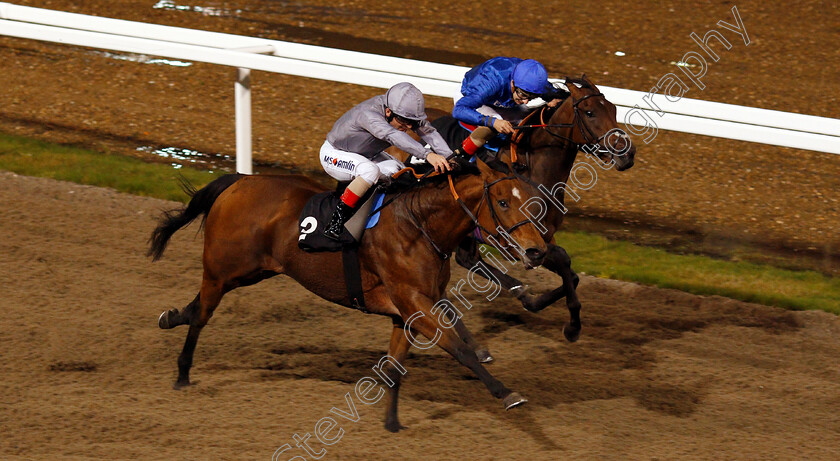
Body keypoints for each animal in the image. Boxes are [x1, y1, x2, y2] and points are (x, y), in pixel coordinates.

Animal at [148, 157, 548, 432]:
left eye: (528, 196)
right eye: (502, 202)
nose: (536, 252)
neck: (419, 227)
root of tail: (240, 181)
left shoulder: (407, 312)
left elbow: (395, 366)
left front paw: (392, 423)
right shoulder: (416, 303)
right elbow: (462, 350)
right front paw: (507, 393)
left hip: (251, 271)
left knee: (197, 306)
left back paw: (170, 317)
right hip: (223, 269)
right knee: (203, 314)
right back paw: (182, 373)